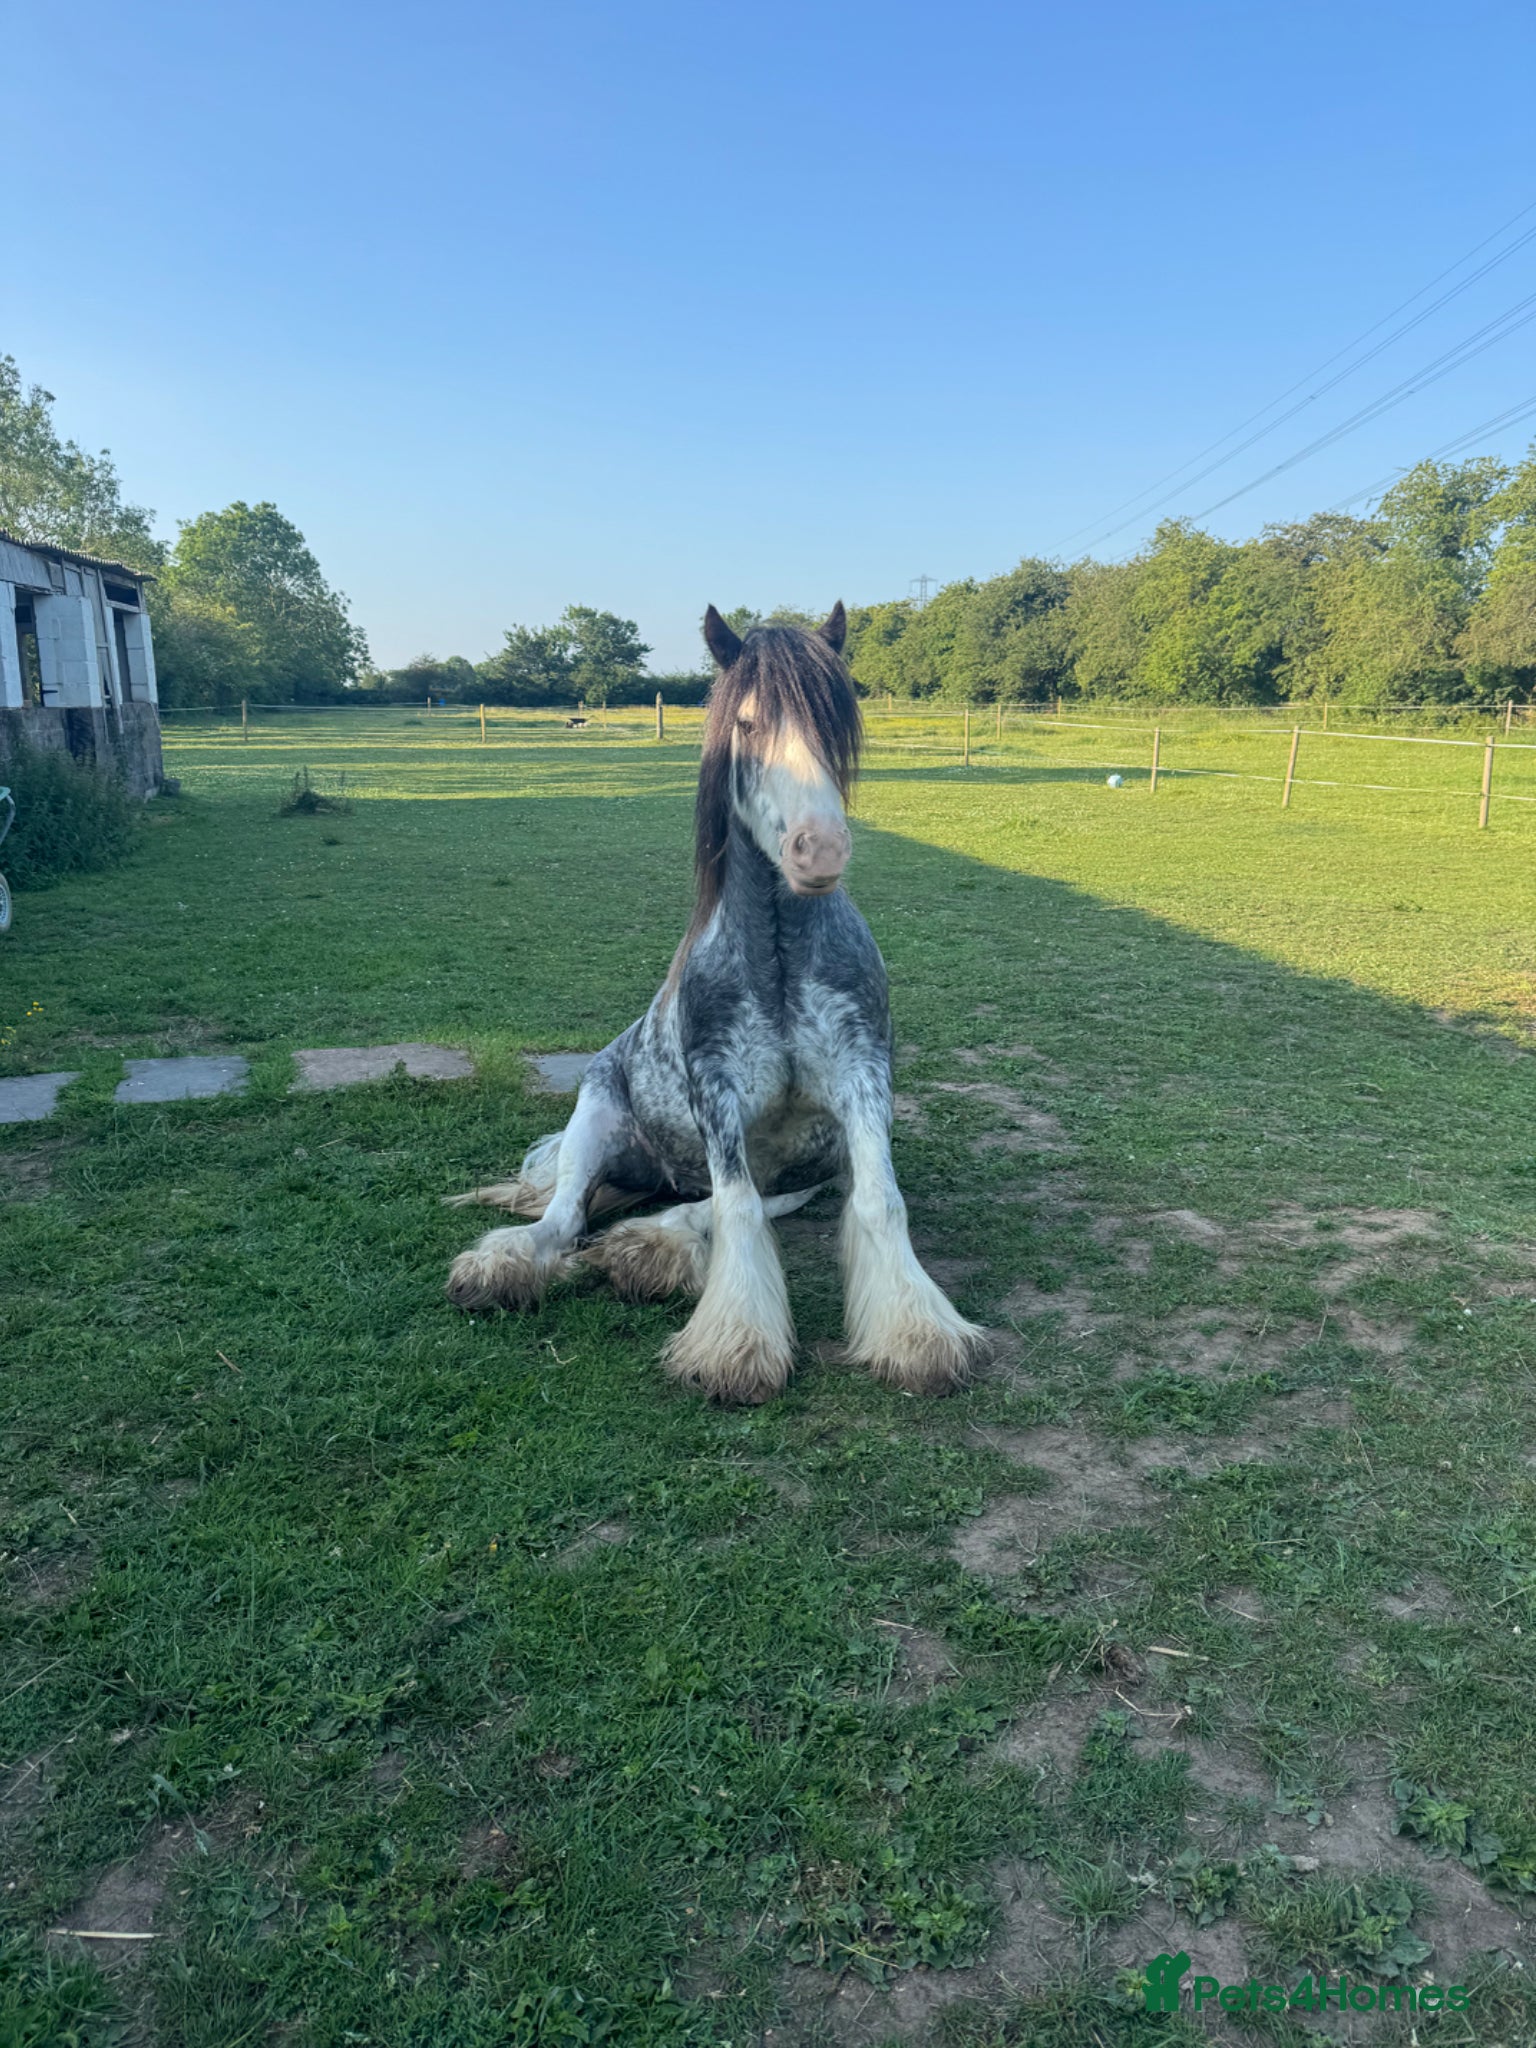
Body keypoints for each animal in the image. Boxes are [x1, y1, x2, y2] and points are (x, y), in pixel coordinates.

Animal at [445, 602, 989, 1404]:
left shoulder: (863, 1080)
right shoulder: (717, 1088)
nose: (820, 850)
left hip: (801, 1171)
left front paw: (915, 1335)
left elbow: (876, 1201)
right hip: (594, 1120)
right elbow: (735, 1207)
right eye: (748, 724)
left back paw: (645, 1248)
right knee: (564, 1215)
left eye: (836, 722)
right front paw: (737, 1347)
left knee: (692, 1208)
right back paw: (502, 1266)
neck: (780, 959)